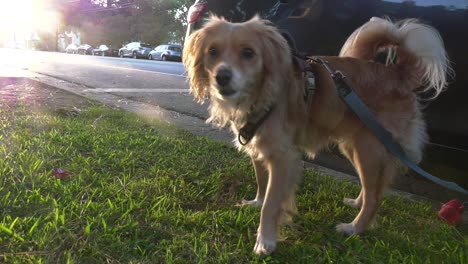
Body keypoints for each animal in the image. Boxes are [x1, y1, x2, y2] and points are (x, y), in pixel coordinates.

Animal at [182, 15, 450, 255]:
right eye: (212, 51)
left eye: (248, 53)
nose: (221, 76)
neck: (261, 93)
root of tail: (398, 74)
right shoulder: (258, 146)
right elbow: (261, 183)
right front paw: (255, 203)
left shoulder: (283, 157)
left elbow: (271, 204)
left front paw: (265, 241)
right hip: (354, 146)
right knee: (372, 188)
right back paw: (356, 203)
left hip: (369, 148)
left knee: (375, 197)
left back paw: (354, 228)